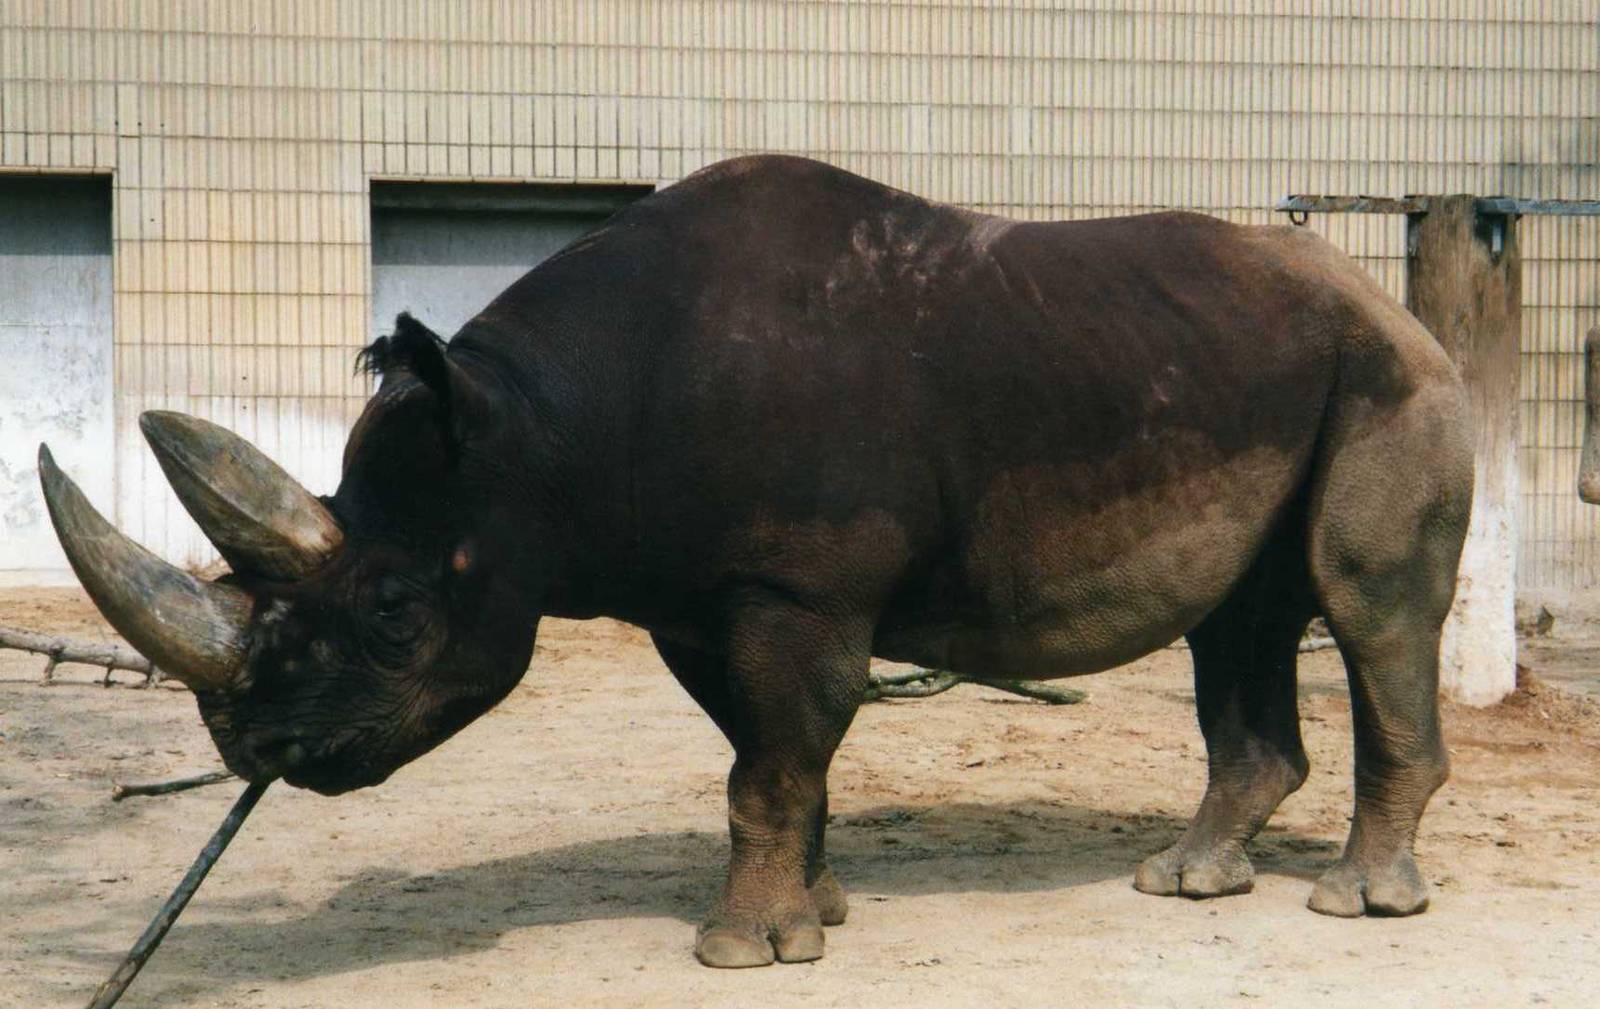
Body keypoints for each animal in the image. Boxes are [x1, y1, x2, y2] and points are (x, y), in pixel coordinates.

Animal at [41, 154, 1471, 968]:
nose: (250, 746)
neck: (539, 438)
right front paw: (818, 914)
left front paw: (739, 952)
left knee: (1364, 605)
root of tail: (1394, 301)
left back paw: (1356, 907)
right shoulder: (695, 594)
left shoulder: (800, 587)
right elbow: (771, 757)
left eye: (394, 613)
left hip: (1390, 378)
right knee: (1239, 617)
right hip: (1256, 367)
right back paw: (1185, 881)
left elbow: (771, 761)